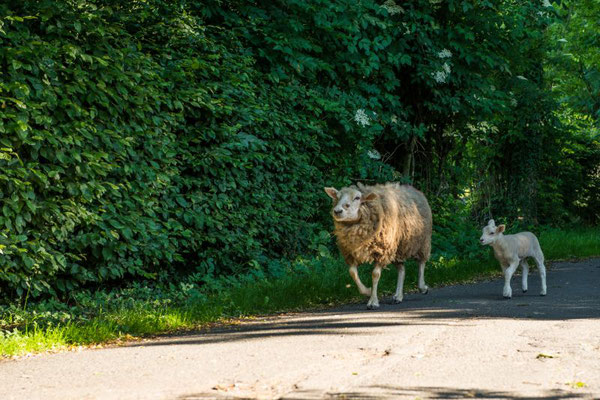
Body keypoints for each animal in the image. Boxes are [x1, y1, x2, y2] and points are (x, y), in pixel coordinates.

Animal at [324, 182, 432, 310]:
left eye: (357, 198)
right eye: (337, 197)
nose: (337, 211)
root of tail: (413, 189)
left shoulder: (382, 251)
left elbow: (375, 275)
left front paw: (373, 301)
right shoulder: (351, 253)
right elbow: (352, 272)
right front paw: (367, 291)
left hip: (422, 241)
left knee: (421, 262)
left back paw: (422, 287)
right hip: (397, 248)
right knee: (402, 269)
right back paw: (398, 296)